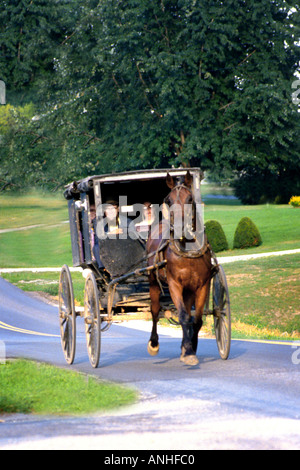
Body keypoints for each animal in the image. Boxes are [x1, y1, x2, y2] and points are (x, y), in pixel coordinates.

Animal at [146, 171, 212, 366]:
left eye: (190, 198)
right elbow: (183, 316)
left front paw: (190, 348)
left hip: (189, 289)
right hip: (153, 282)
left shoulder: (202, 285)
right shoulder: (174, 284)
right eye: (168, 200)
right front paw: (188, 350)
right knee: (154, 310)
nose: (179, 228)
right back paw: (153, 343)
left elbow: (196, 319)